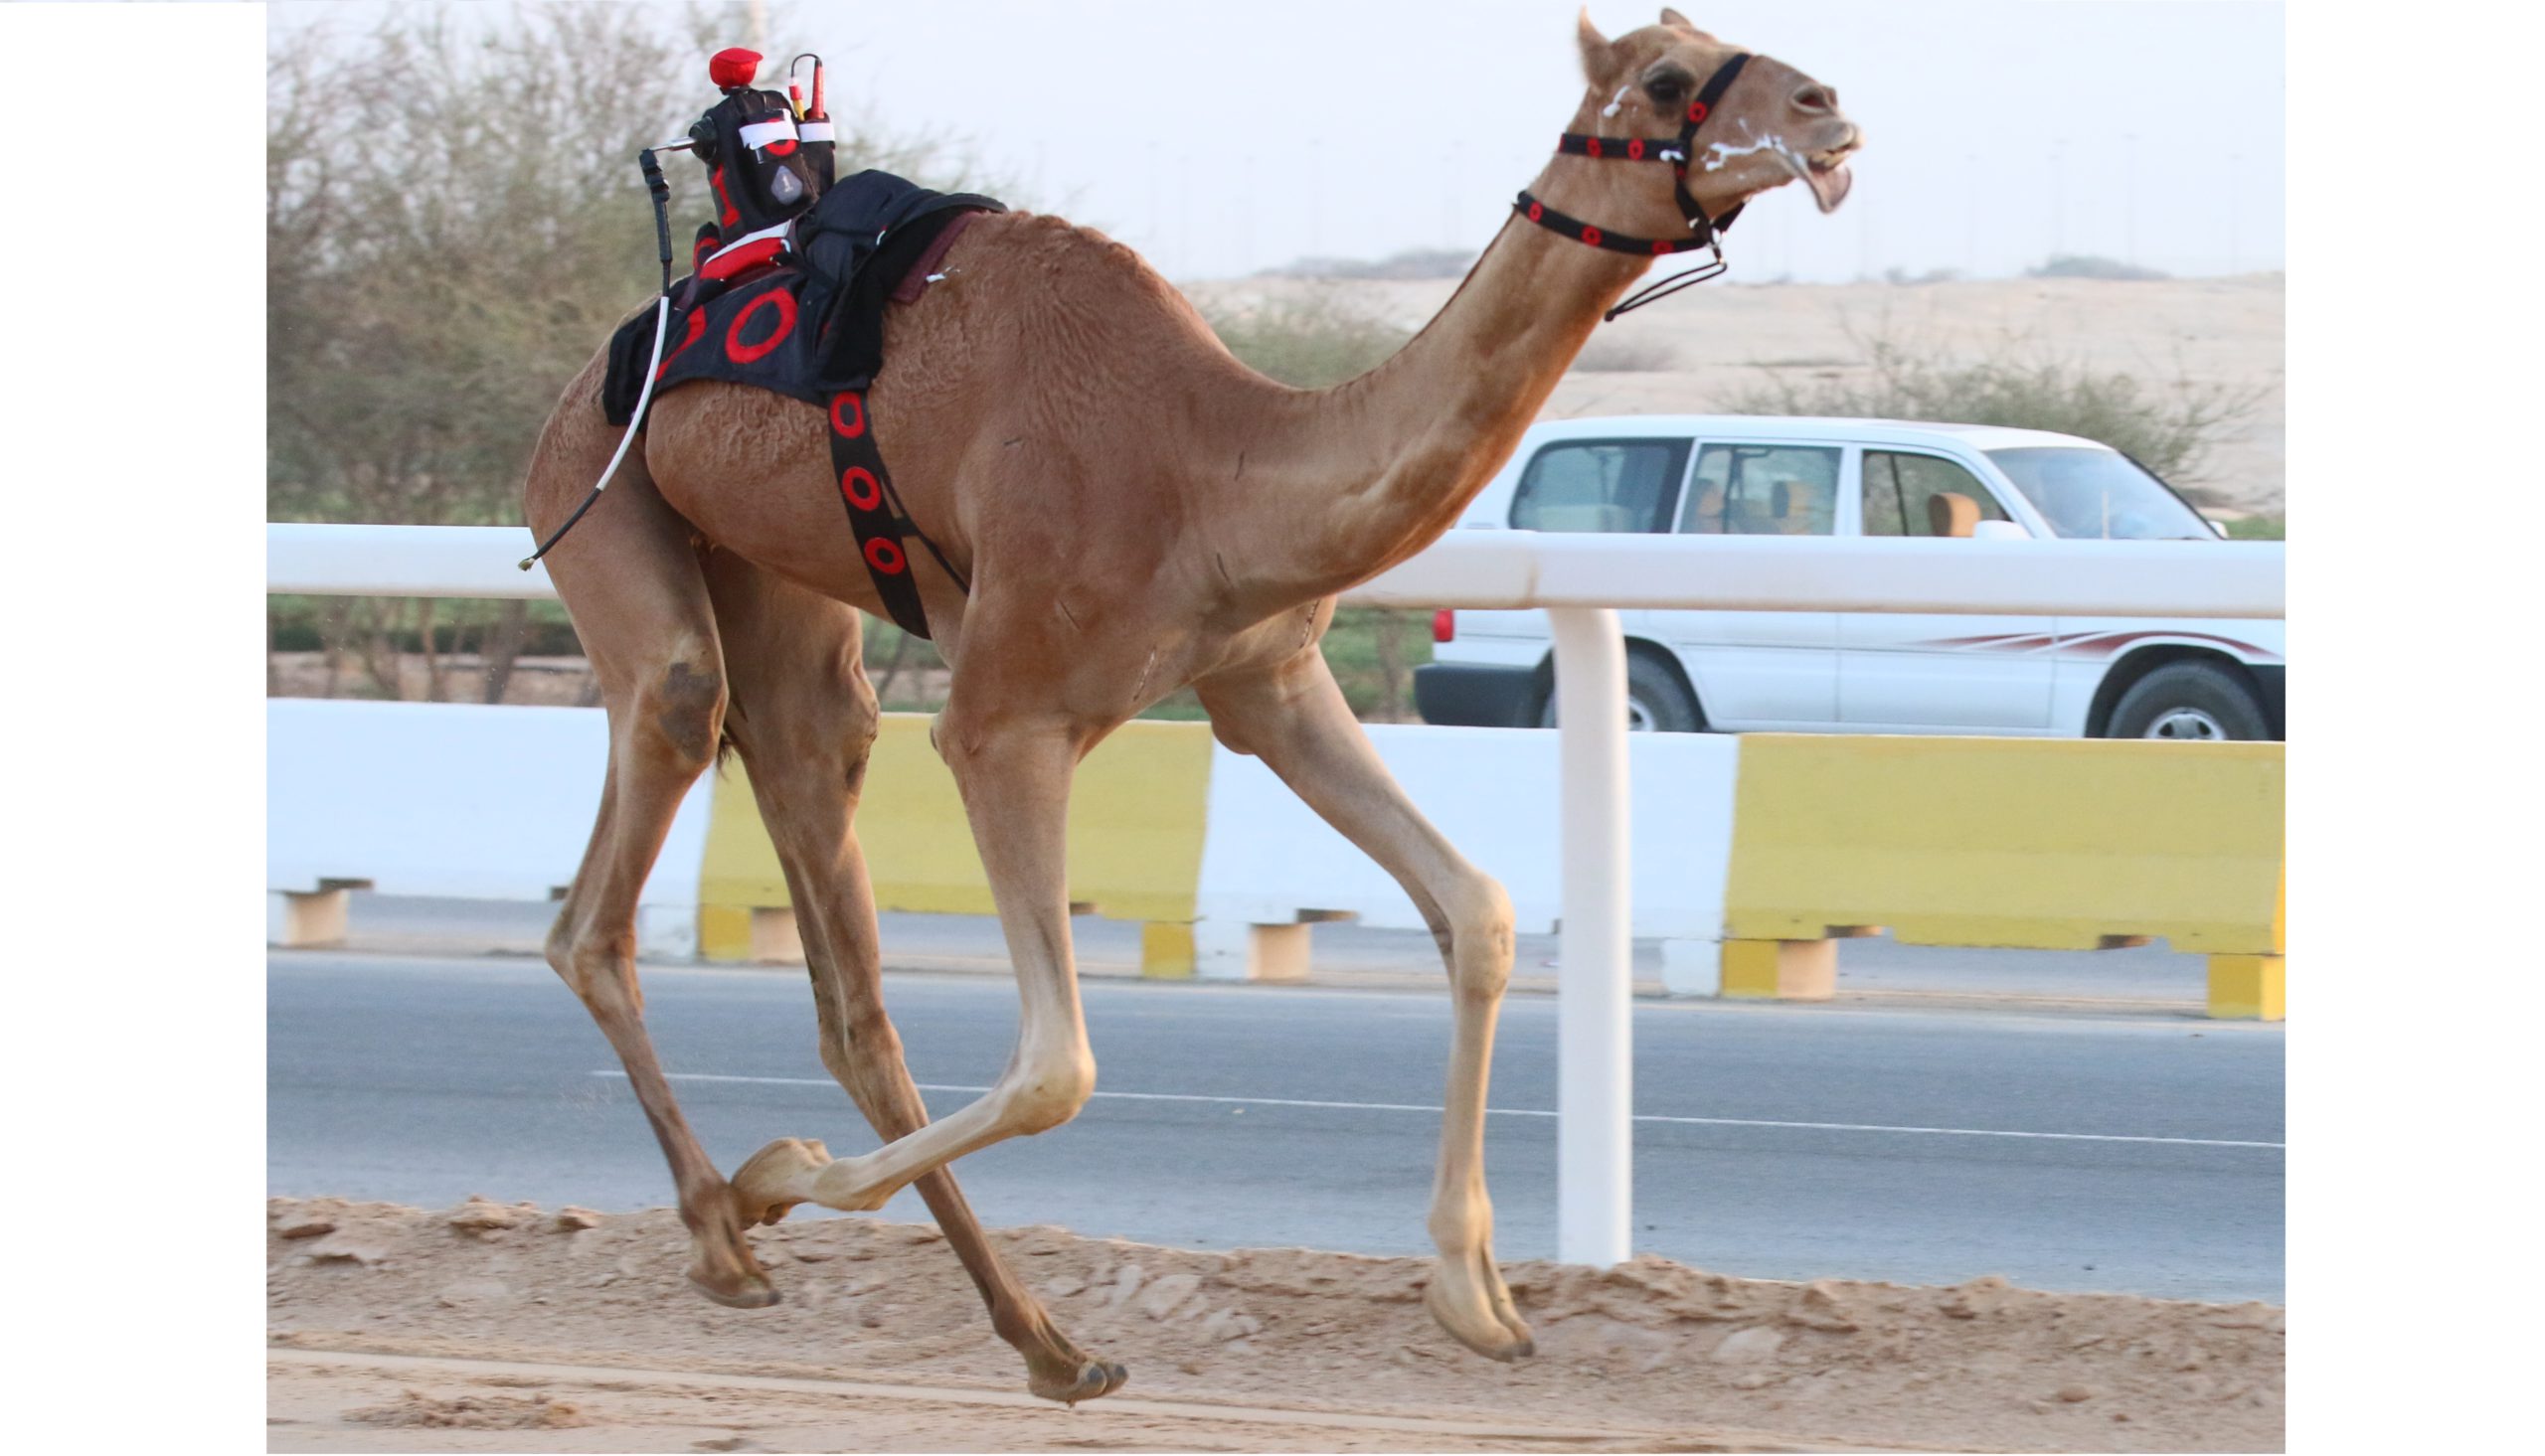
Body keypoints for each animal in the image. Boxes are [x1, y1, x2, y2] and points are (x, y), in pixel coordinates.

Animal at [526, 5, 1862, 1404]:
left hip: (780, 591)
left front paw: (1475, 1297)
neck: (1203, 463)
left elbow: (1478, 911)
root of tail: (594, 369)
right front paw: (778, 1174)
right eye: (1663, 77)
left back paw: (1046, 1341)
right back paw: (727, 1232)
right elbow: (1055, 1065)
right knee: (622, 850)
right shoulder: (1003, 716)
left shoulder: (1263, 680)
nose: (1825, 109)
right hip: (601, 494)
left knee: (838, 924)